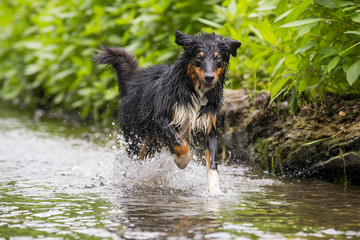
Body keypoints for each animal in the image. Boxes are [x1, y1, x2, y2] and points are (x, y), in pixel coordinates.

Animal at [93, 31, 240, 193]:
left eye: (218, 58)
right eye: (198, 58)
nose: (209, 77)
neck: (195, 91)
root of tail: (134, 81)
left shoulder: (209, 127)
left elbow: (212, 164)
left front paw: (215, 192)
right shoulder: (162, 117)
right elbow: (180, 143)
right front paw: (182, 161)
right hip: (138, 139)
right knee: (136, 162)